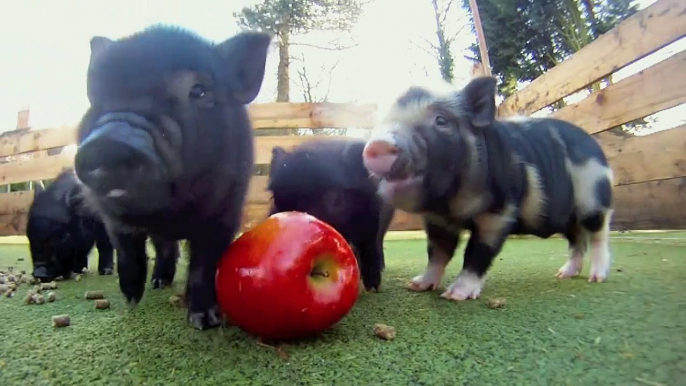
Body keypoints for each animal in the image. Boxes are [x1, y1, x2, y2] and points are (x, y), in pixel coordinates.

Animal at [72, 25, 272, 330]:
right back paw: (157, 283)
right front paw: (130, 301)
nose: (109, 141)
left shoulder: (225, 210)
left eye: (199, 91)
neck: (169, 213)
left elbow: (205, 261)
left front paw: (205, 321)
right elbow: (128, 252)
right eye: (95, 97)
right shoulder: (112, 217)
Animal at [362, 75, 616, 302]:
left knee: (598, 235)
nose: (378, 145)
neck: (450, 204)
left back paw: (597, 278)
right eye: (382, 121)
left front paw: (454, 296)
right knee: (577, 239)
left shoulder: (499, 212)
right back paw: (563, 274)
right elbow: (438, 252)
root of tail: (596, 147)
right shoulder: (438, 220)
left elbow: (478, 253)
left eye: (441, 120)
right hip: (568, 217)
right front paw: (416, 285)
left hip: (594, 199)